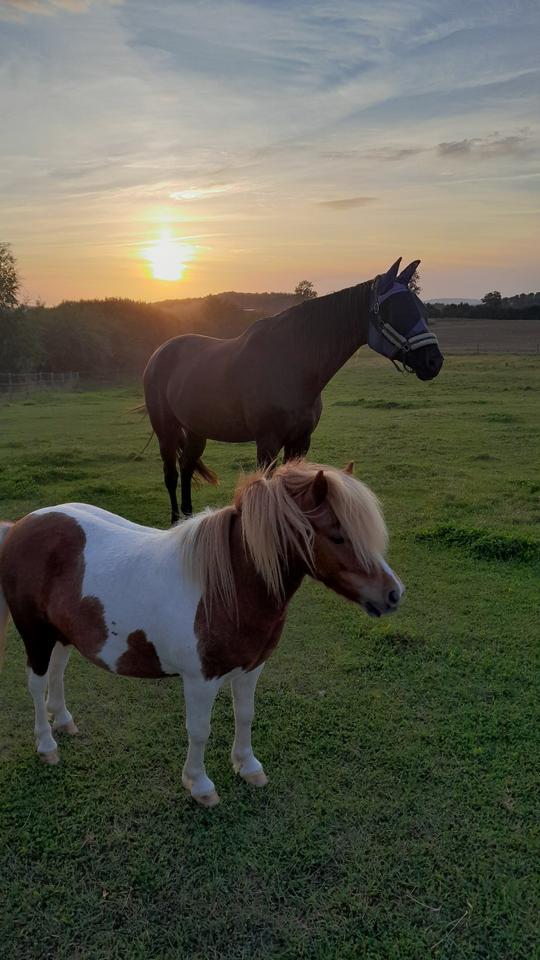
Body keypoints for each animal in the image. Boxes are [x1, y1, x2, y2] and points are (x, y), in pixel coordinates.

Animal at [0, 460, 403, 808]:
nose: (393, 594)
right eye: (337, 535)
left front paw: (248, 766)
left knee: (58, 670)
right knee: (36, 683)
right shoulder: (200, 679)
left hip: (60, 632)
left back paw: (64, 720)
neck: (228, 586)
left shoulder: (251, 669)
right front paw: (200, 784)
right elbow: (199, 730)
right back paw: (46, 744)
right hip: (34, 634)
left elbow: (245, 715)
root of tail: (19, 526)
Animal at [143, 257, 443, 523]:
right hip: (166, 430)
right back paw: (175, 521)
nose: (434, 361)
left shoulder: (300, 440)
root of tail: (159, 353)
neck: (291, 364)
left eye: (421, 308)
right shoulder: (267, 442)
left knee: (186, 466)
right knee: (171, 474)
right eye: (395, 310)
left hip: (196, 431)